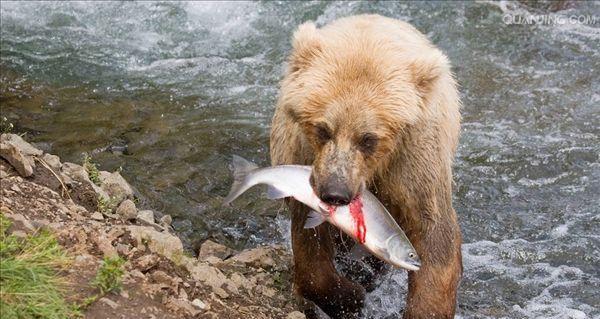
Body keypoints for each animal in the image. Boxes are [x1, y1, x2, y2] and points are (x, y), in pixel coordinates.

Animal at [270, 13, 462, 318]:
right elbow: (310, 244)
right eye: (323, 129)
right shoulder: (301, 157)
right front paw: (350, 297)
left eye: (368, 138)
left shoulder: (414, 159)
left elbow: (432, 231)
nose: (335, 192)